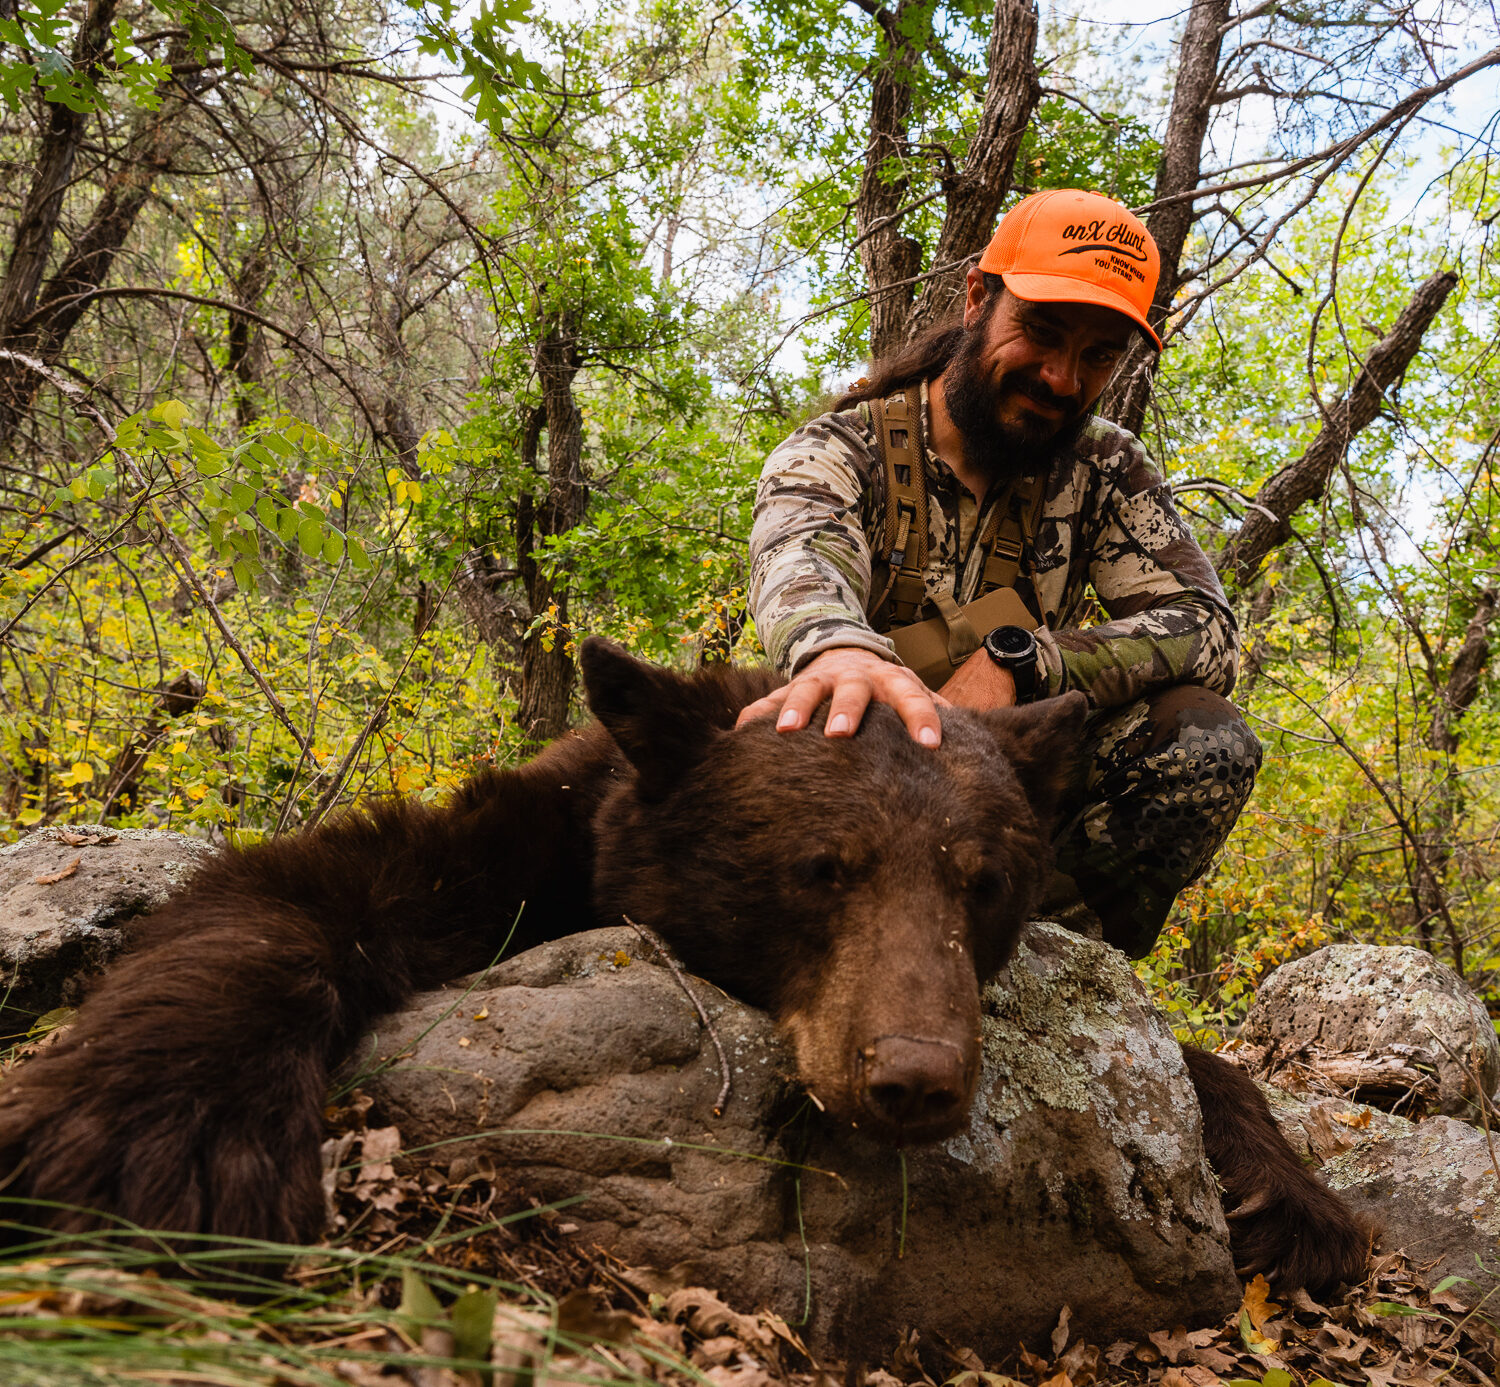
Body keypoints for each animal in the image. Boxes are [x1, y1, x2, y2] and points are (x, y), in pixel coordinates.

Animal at [0, 638, 1367, 1295]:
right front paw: (166, 1139)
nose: (915, 1077)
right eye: (823, 867)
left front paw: (1292, 1200)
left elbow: (1204, 1062)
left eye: (981, 882)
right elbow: (291, 894)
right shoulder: (519, 843)